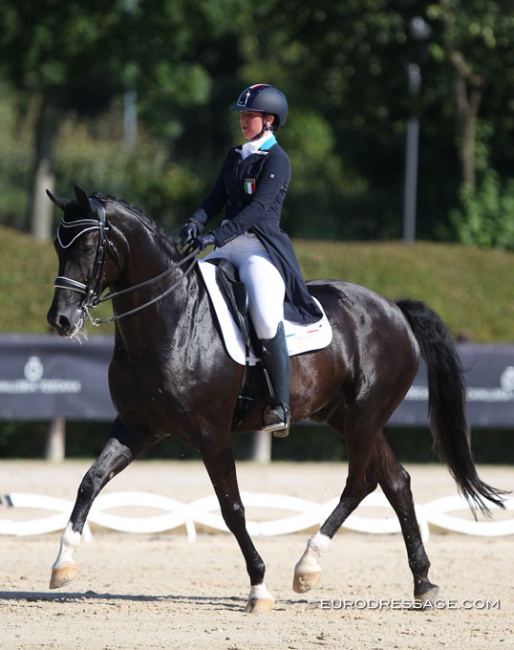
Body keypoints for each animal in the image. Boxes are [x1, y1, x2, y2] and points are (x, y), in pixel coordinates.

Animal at [46, 184, 502, 612]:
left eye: (89, 246)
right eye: (57, 246)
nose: (60, 320)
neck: (171, 320)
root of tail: (393, 308)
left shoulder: (211, 435)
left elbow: (232, 508)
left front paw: (259, 587)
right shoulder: (137, 427)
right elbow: (89, 482)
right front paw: (62, 564)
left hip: (363, 415)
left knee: (361, 482)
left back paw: (308, 566)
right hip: (346, 417)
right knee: (396, 482)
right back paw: (422, 583)